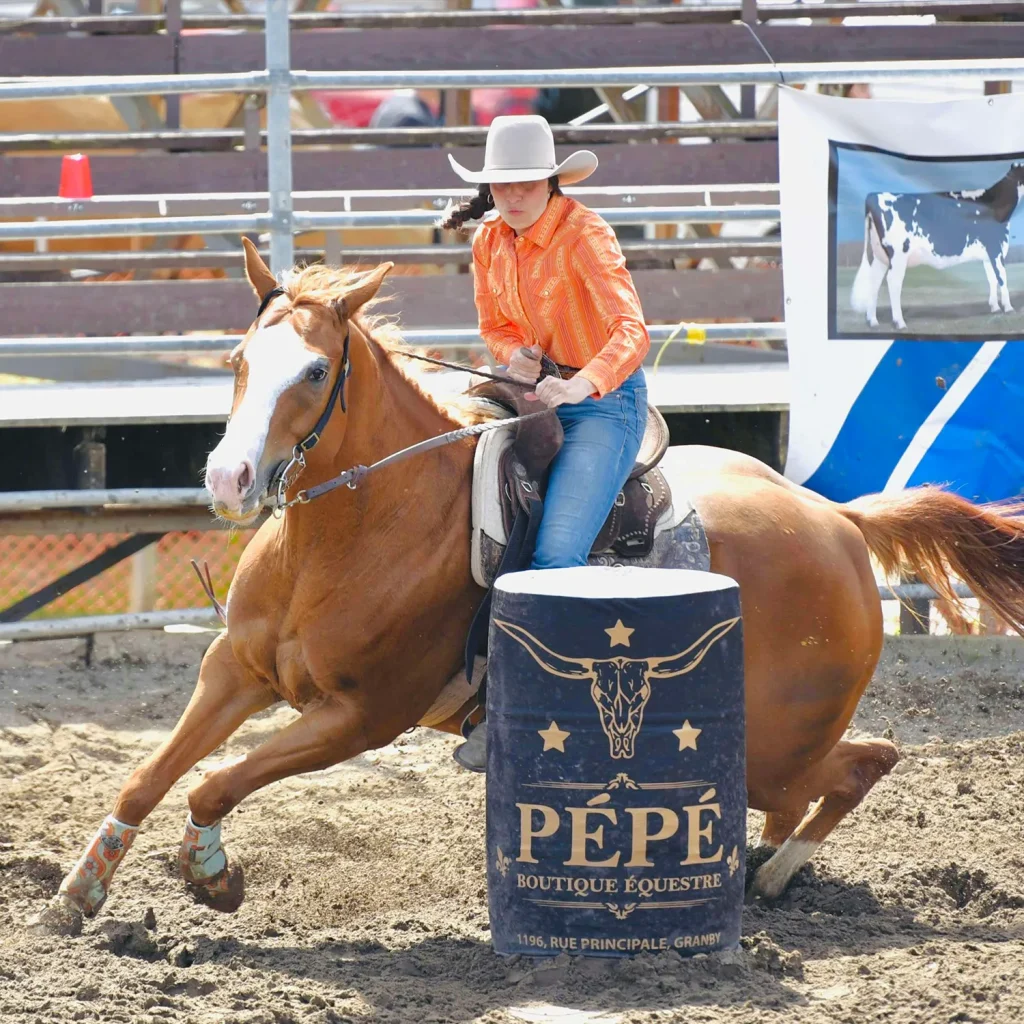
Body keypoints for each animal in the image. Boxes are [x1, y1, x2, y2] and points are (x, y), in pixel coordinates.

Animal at [37, 241, 1024, 937]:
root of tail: (840, 522)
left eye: (314, 371)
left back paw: (774, 873)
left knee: (861, 763)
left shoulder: (359, 718)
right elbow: (147, 776)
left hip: (775, 742)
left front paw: (214, 876)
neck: (357, 532)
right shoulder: (232, 670)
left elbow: (213, 785)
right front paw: (79, 892)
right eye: (239, 359)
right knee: (822, 783)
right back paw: (759, 863)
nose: (230, 478)